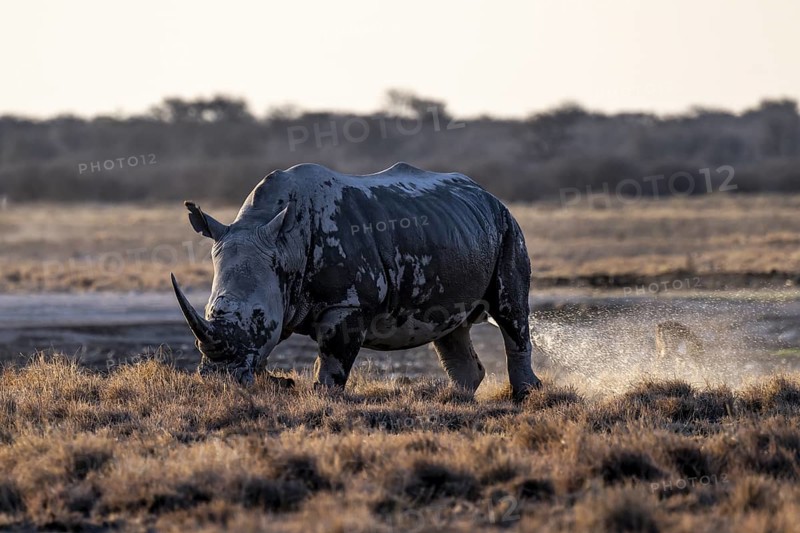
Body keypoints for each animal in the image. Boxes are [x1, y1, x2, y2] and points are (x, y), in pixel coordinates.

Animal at [171, 162, 542, 398]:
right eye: (210, 312)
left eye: (259, 318)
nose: (218, 378)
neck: (282, 242)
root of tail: (488, 194)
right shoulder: (280, 288)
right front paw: (279, 383)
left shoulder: (346, 303)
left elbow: (333, 356)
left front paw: (323, 396)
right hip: (459, 230)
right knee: (450, 327)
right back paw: (456, 400)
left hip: (507, 227)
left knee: (510, 311)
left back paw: (524, 396)